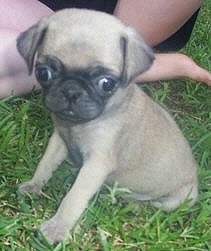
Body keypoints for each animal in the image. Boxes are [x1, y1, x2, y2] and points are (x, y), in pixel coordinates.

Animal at [16, 9, 198, 243]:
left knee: (155, 204)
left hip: (179, 198)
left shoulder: (96, 164)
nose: (71, 91)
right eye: (43, 73)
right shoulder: (59, 140)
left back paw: (134, 204)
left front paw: (58, 227)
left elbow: (73, 197)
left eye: (106, 83)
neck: (78, 126)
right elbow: (45, 164)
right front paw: (35, 184)